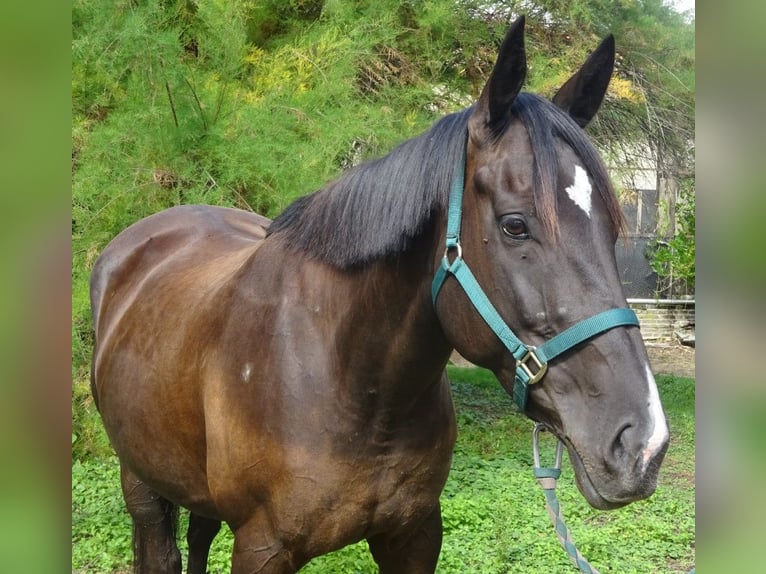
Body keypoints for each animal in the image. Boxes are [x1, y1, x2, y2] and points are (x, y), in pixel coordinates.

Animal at [90, 16, 668, 574]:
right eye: (515, 226)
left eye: (612, 228)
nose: (643, 445)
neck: (355, 384)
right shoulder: (262, 547)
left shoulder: (414, 535)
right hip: (139, 476)